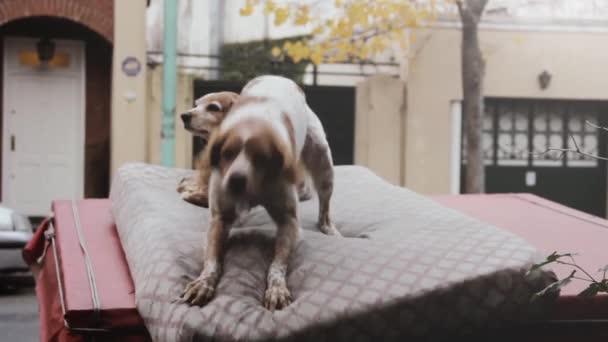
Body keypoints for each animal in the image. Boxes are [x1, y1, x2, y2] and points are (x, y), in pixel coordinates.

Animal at [180, 75, 342, 310]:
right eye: (227, 153)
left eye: (261, 157)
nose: (185, 115)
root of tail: (279, 78)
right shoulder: (218, 219)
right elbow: (211, 261)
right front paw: (203, 283)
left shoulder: (289, 222)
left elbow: (277, 265)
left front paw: (277, 289)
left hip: (322, 163)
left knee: (324, 204)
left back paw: (328, 227)